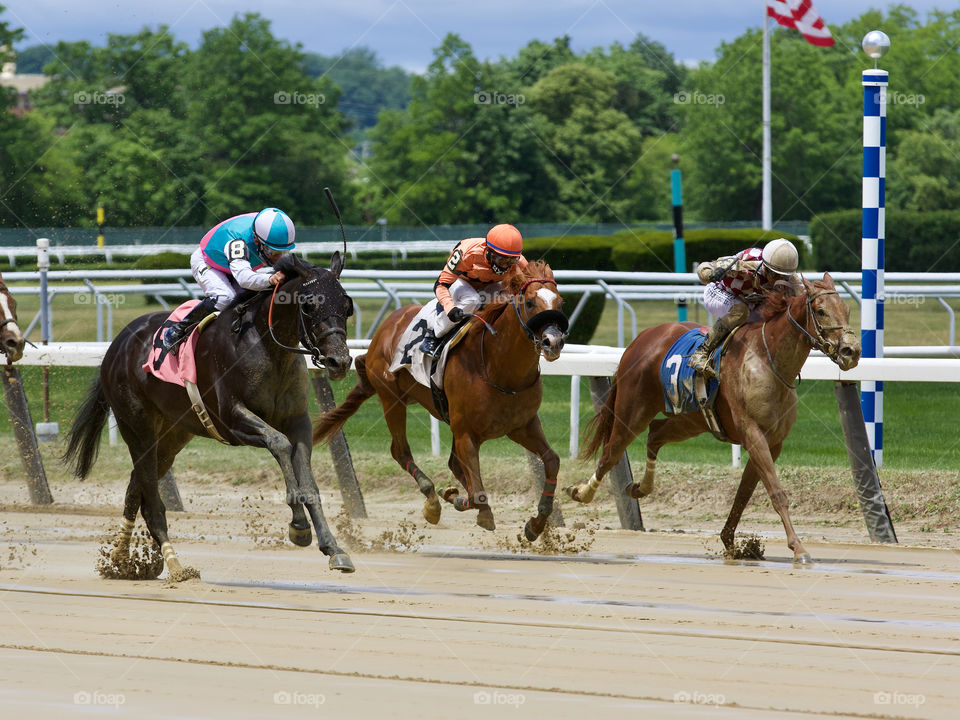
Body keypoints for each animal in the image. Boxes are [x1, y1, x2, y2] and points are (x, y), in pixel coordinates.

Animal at [63, 253, 356, 580]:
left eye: (346, 305)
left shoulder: (298, 421)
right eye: (308, 305)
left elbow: (309, 482)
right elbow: (279, 443)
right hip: (137, 428)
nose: (339, 361)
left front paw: (333, 548)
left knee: (135, 489)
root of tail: (116, 345)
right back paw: (176, 566)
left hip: (172, 436)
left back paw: (121, 559)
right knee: (151, 502)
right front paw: (298, 524)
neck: (267, 345)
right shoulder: (231, 419)